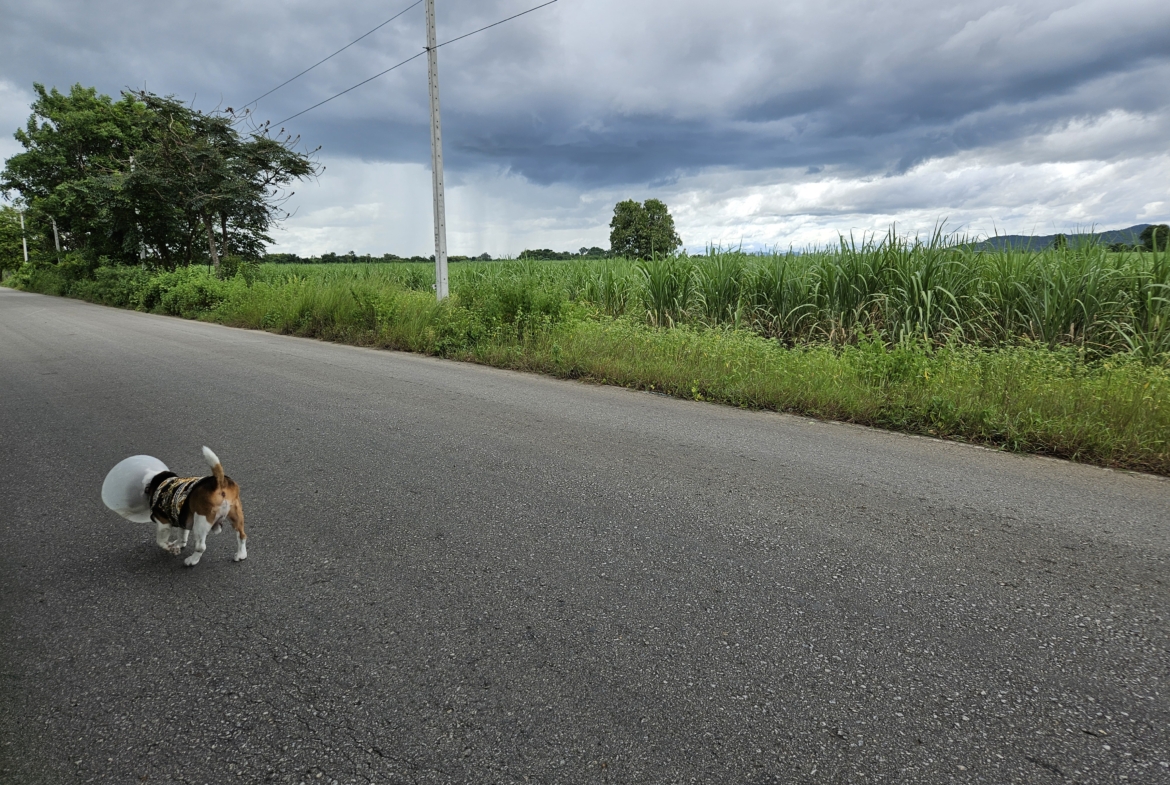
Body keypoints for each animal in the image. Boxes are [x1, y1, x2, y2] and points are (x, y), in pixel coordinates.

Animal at [102, 447, 246, 567]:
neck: (156, 480)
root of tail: (219, 481)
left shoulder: (163, 523)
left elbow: (160, 542)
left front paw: (171, 549)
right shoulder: (182, 517)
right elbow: (182, 535)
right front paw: (178, 545)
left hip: (201, 521)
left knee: (201, 547)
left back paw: (192, 560)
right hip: (236, 516)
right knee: (242, 535)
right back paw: (241, 555)